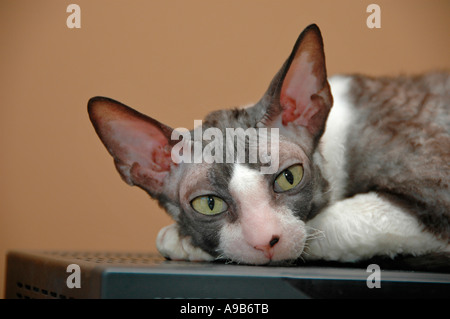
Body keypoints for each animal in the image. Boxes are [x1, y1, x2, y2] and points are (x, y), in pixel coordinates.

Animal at [89, 24, 450, 264]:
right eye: (209, 204)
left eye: (289, 177)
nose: (266, 241)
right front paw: (185, 238)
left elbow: (319, 231)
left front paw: (179, 240)